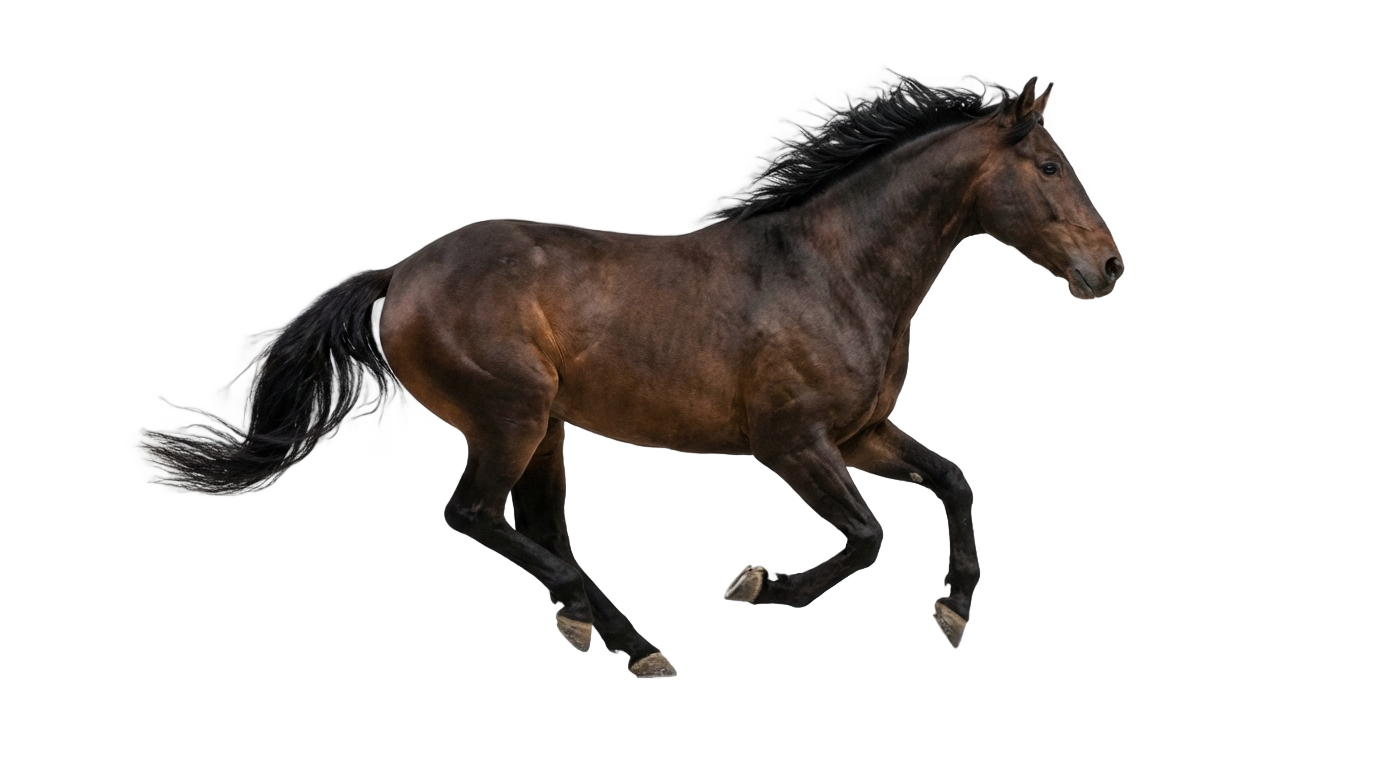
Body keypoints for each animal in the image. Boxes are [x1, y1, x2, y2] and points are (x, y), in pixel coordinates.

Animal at [146, 75, 1123, 676]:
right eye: (1048, 165)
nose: (1110, 265)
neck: (830, 270)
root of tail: (400, 273)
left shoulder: (862, 433)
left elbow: (952, 484)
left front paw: (952, 614)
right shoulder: (793, 442)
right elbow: (864, 535)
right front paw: (757, 589)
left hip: (544, 427)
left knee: (540, 527)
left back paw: (608, 634)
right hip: (511, 416)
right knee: (477, 515)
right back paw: (626, 638)